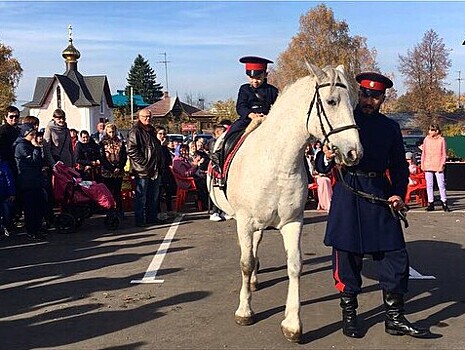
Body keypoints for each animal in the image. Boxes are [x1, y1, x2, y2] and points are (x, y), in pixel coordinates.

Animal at [208, 63, 362, 342]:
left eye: (354, 102)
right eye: (331, 101)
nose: (354, 153)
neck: (276, 163)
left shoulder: (292, 222)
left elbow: (294, 266)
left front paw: (292, 324)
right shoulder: (244, 221)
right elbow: (245, 262)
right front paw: (244, 311)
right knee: (247, 251)